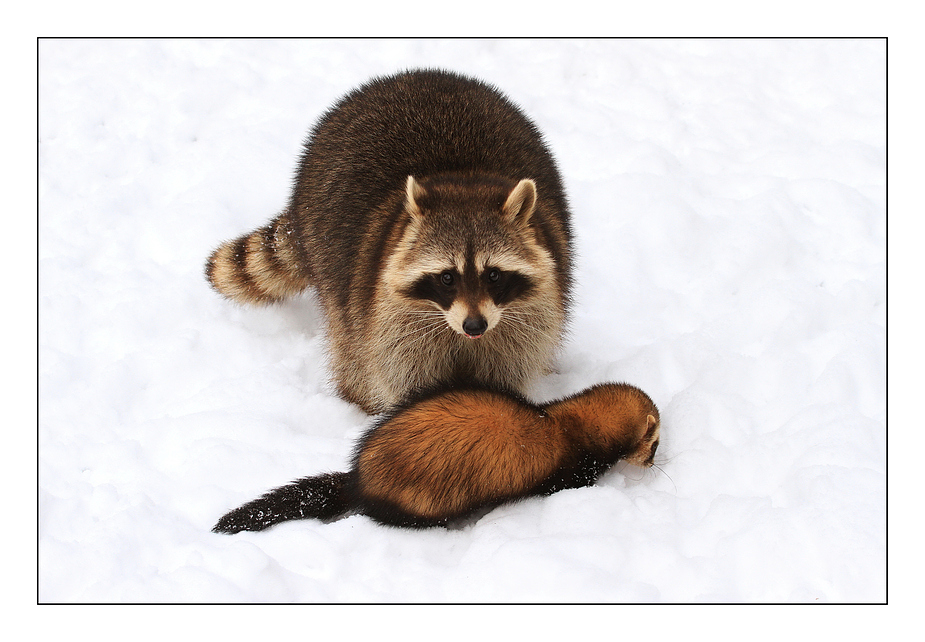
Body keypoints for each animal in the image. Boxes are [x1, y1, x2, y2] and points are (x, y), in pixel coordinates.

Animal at [206, 69, 572, 410]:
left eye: (493, 274)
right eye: (447, 277)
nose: (474, 325)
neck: (462, 181)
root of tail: (415, 74)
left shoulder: (526, 320)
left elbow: (508, 370)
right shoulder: (387, 318)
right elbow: (397, 373)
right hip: (327, 250)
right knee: (350, 348)